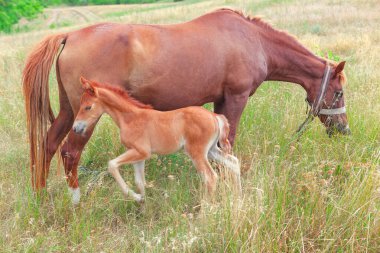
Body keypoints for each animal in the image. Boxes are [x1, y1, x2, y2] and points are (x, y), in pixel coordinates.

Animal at [72, 77, 240, 204]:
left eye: (88, 107)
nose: (75, 128)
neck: (130, 118)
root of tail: (214, 116)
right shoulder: (138, 155)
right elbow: (140, 182)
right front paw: (142, 206)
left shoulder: (141, 152)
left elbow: (112, 165)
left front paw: (134, 196)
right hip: (211, 150)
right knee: (234, 163)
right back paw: (238, 198)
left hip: (196, 152)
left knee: (211, 177)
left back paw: (205, 209)